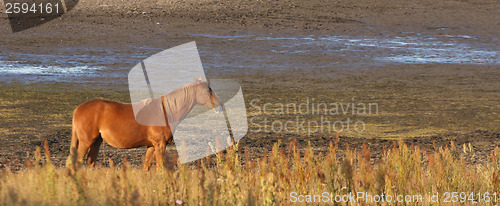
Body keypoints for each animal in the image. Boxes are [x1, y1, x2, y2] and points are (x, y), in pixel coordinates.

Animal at [69, 77, 223, 169]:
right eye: (207, 90)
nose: (220, 106)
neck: (166, 111)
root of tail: (78, 109)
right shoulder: (160, 145)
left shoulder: (151, 146)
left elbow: (146, 168)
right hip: (86, 142)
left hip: (96, 142)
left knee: (90, 163)